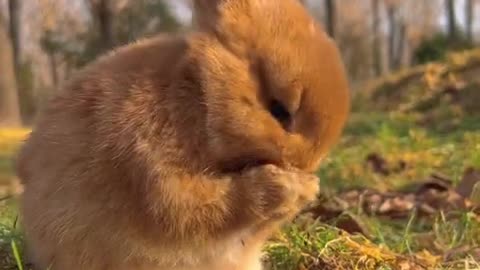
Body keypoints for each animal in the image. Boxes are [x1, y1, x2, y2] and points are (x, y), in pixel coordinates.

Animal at [16, 0, 350, 270]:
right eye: (279, 109)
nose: (308, 166)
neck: (200, 95)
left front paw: (308, 187)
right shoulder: (151, 171)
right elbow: (202, 207)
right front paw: (290, 186)